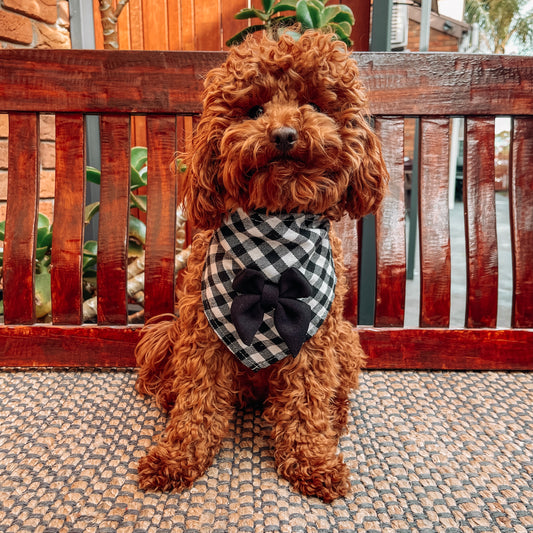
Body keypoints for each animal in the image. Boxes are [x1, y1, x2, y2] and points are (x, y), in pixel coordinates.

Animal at [135, 30, 388, 502]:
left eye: (315, 105)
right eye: (253, 110)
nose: (285, 135)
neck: (273, 232)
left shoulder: (312, 340)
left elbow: (306, 403)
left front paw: (312, 461)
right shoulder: (202, 337)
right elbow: (197, 402)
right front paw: (178, 456)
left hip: (344, 339)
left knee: (335, 393)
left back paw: (336, 419)